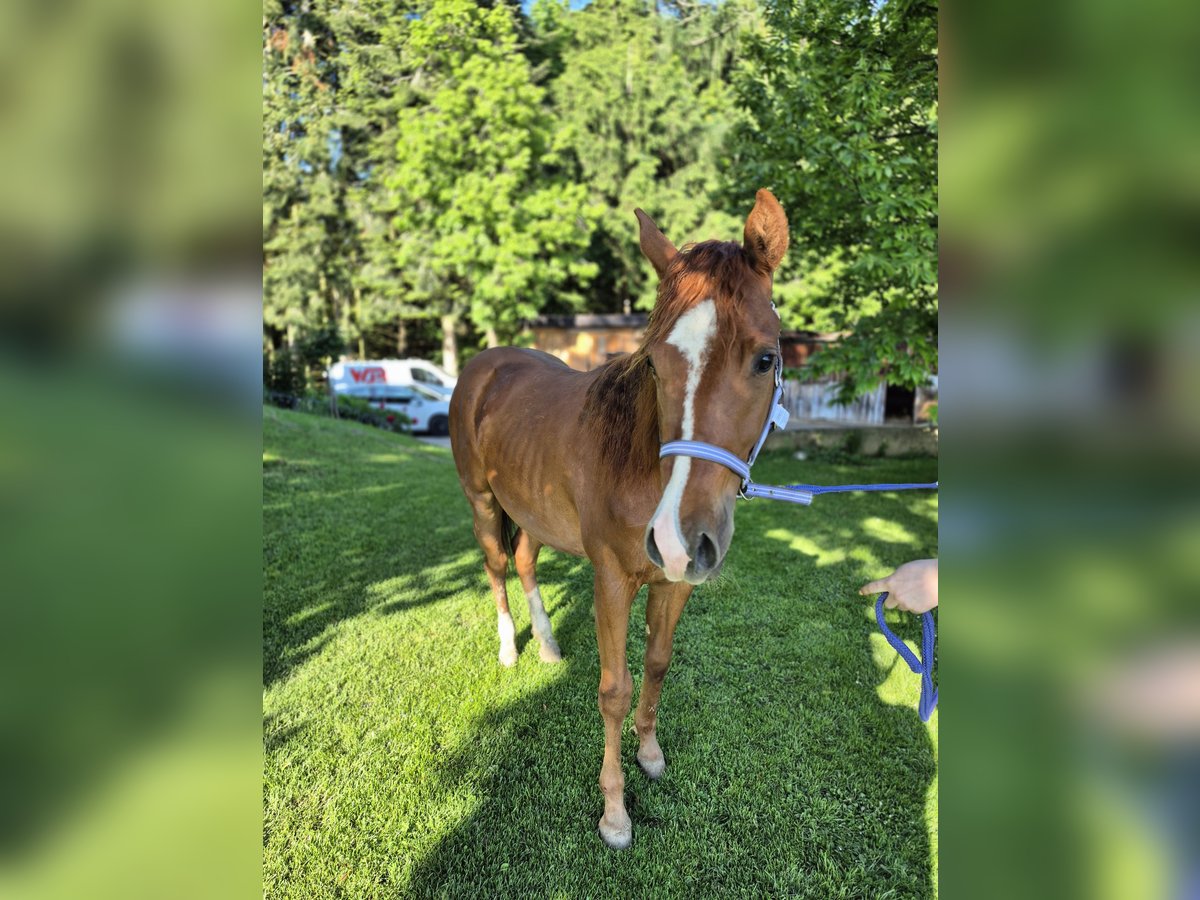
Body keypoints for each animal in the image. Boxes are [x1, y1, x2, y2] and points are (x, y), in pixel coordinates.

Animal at [448, 189, 789, 849]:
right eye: (654, 364)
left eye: (766, 359)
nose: (679, 537)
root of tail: (485, 365)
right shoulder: (610, 578)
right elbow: (614, 689)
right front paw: (614, 812)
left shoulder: (675, 582)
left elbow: (657, 663)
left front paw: (650, 752)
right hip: (481, 502)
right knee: (497, 566)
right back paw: (509, 650)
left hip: (533, 513)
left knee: (524, 562)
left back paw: (548, 647)